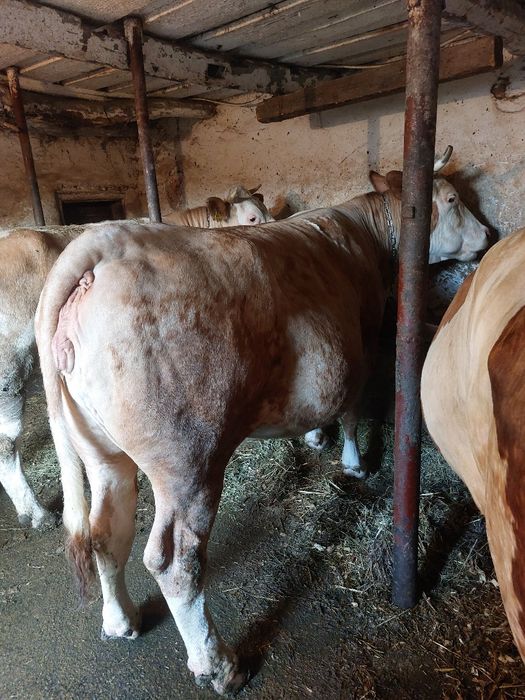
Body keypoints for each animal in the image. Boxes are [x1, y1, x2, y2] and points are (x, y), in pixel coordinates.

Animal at [34, 148, 488, 695]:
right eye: (452, 199)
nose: (489, 235)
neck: (366, 237)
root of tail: (104, 243)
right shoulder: (359, 342)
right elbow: (351, 410)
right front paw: (354, 463)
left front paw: (314, 436)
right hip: (188, 460)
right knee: (176, 561)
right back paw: (219, 665)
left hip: (100, 450)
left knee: (106, 530)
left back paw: (120, 620)